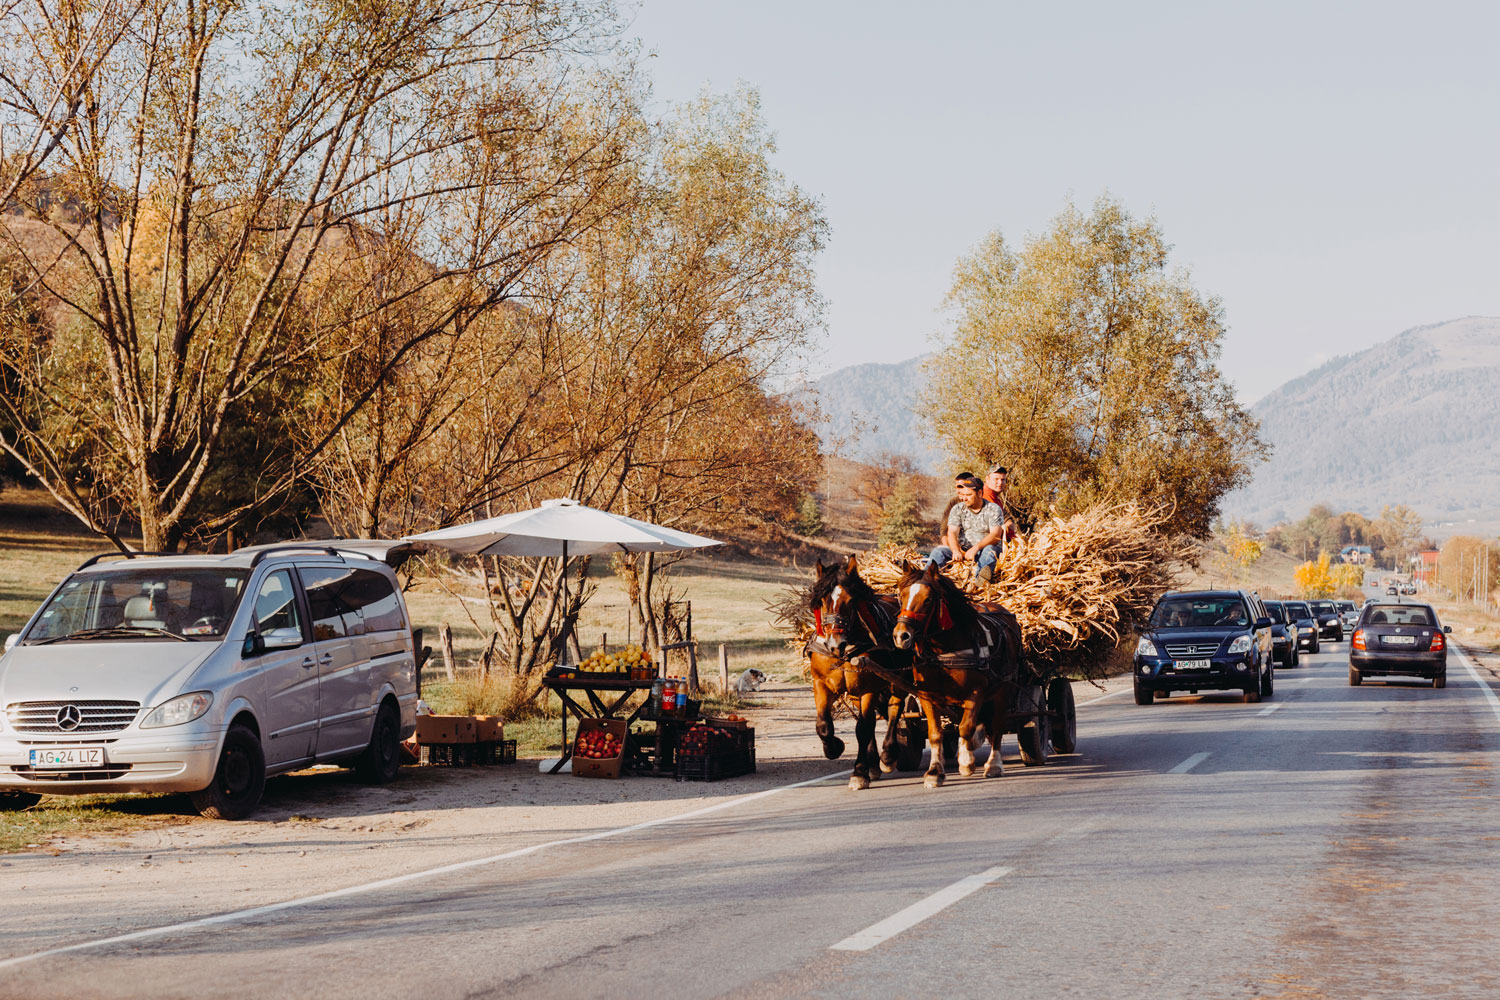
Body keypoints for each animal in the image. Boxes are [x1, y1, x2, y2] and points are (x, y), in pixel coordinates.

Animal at [810, 554, 912, 791]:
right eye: (822, 601)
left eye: (851, 601)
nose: (835, 644)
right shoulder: (821, 684)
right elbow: (823, 725)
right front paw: (834, 747)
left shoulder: (869, 687)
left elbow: (863, 728)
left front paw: (858, 773)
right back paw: (873, 763)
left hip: (899, 678)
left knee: (894, 709)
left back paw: (887, 756)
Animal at [894, 563, 1026, 791]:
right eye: (901, 596)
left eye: (928, 599)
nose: (901, 635)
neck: (945, 652)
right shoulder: (927, 696)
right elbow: (936, 734)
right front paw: (935, 772)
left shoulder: (976, 692)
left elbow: (966, 727)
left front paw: (966, 762)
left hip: (1003, 689)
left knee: (997, 726)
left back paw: (994, 764)